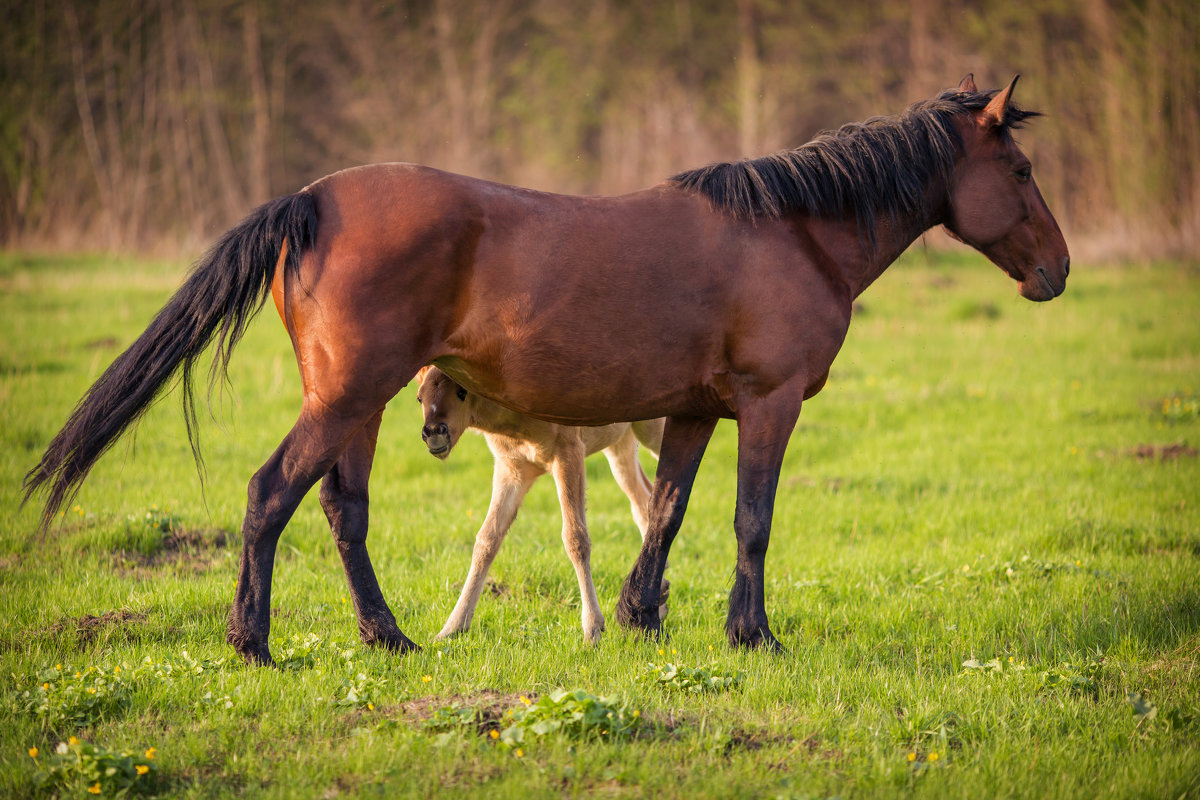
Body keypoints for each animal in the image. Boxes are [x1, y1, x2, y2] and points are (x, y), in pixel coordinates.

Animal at [417, 367, 667, 647]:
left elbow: (576, 538)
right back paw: (660, 598)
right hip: (619, 443)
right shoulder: (511, 469)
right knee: (643, 501)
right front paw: (452, 627)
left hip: (652, 428)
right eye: (419, 398)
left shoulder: (569, 453)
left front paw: (592, 629)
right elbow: (486, 539)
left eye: (462, 392)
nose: (434, 432)